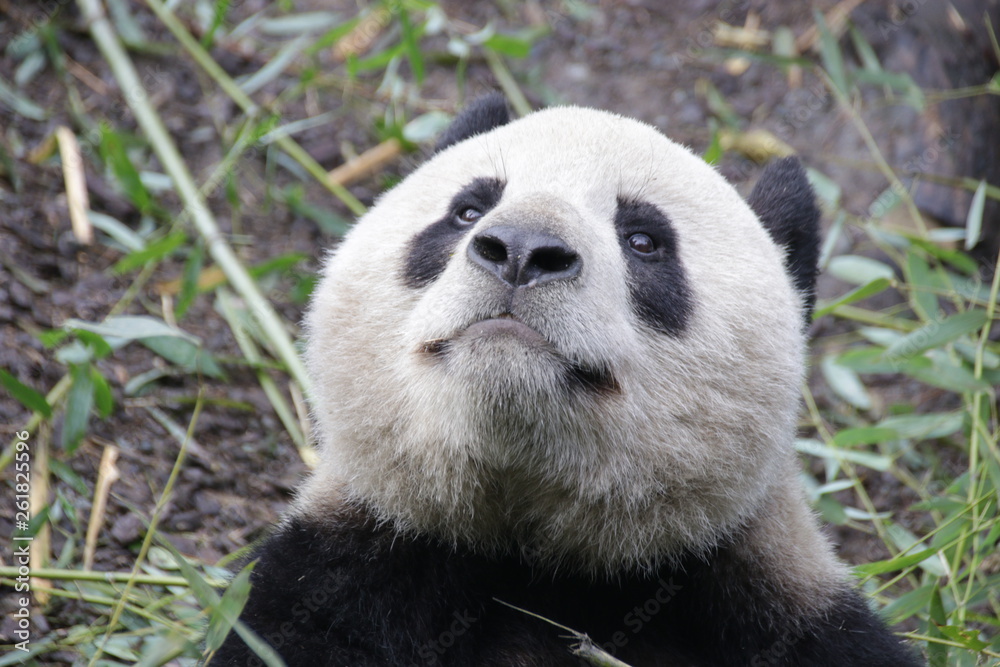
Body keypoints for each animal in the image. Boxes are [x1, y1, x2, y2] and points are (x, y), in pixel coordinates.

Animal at [213, 94, 921, 666]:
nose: (523, 250)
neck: (544, 566)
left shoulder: (771, 602)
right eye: (467, 210)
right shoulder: (350, 569)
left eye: (643, 239)